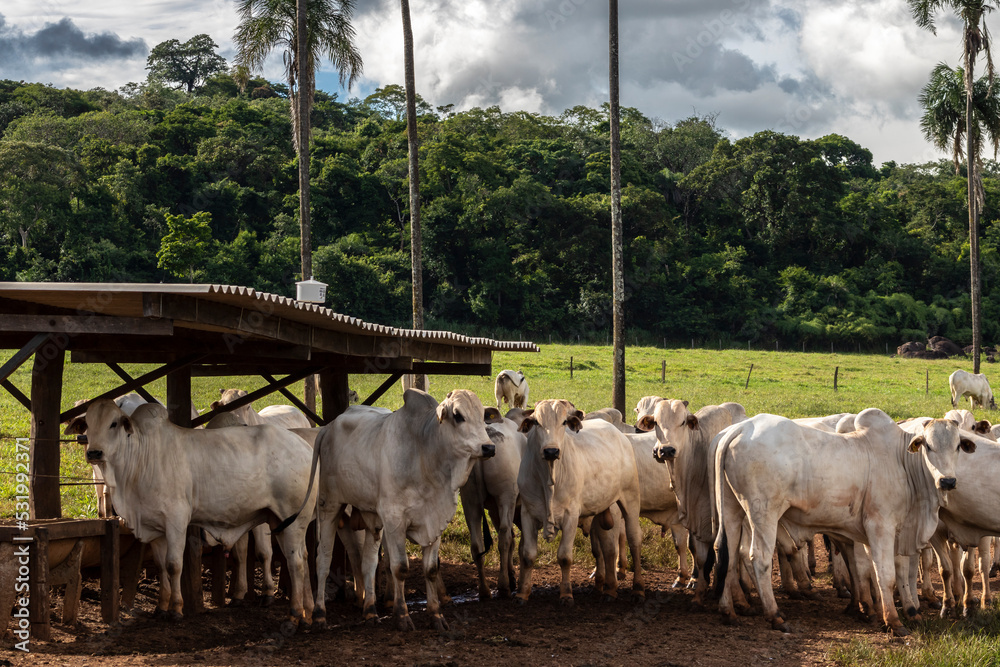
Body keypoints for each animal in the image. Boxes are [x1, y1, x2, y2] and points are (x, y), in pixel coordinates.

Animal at [83, 400, 316, 624]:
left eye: (113, 423)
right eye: (87, 424)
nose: (94, 452)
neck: (141, 458)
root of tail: (304, 447)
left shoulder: (176, 520)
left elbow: (173, 565)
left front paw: (176, 609)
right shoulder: (155, 527)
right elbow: (160, 567)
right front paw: (161, 607)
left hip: (292, 519)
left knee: (295, 561)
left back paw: (295, 615)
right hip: (279, 521)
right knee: (301, 557)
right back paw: (308, 615)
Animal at [290, 386, 500, 632]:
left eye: (483, 417)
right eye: (458, 415)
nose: (489, 447)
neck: (425, 453)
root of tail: (328, 427)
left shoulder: (435, 521)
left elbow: (430, 569)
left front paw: (436, 615)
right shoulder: (395, 520)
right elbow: (399, 567)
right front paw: (402, 615)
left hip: (372, 519)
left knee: (368, 562)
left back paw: (370, 610)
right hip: (329, 505)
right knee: (322, 560)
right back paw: (319, 615)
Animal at [512, 400, 644, 608]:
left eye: (564, 422)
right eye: (536, 422)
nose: (551, 451)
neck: (550, 477)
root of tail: (619, 434)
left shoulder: (571, 515)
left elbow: (565, 557)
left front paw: (566, 594)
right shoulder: (527, 514)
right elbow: (527, 555)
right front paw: (522, 594)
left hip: (630, 498)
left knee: (633, 540)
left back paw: (638, 589)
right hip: (605, 511)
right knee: (608, 549)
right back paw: (609, 590)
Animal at [716, 408, 972, 636]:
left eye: (957, 446)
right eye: (928, 446)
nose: (947, 481)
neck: (901, 463)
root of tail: (742, 427)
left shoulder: (875, 533)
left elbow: (866, 572)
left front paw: (875, 610)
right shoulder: (881, 526)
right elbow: (885, 575)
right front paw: (893, 621)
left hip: (731, 509)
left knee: (728, 553)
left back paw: (729, 611)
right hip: (763, 513)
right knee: (758, 558)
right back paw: (775, 616)